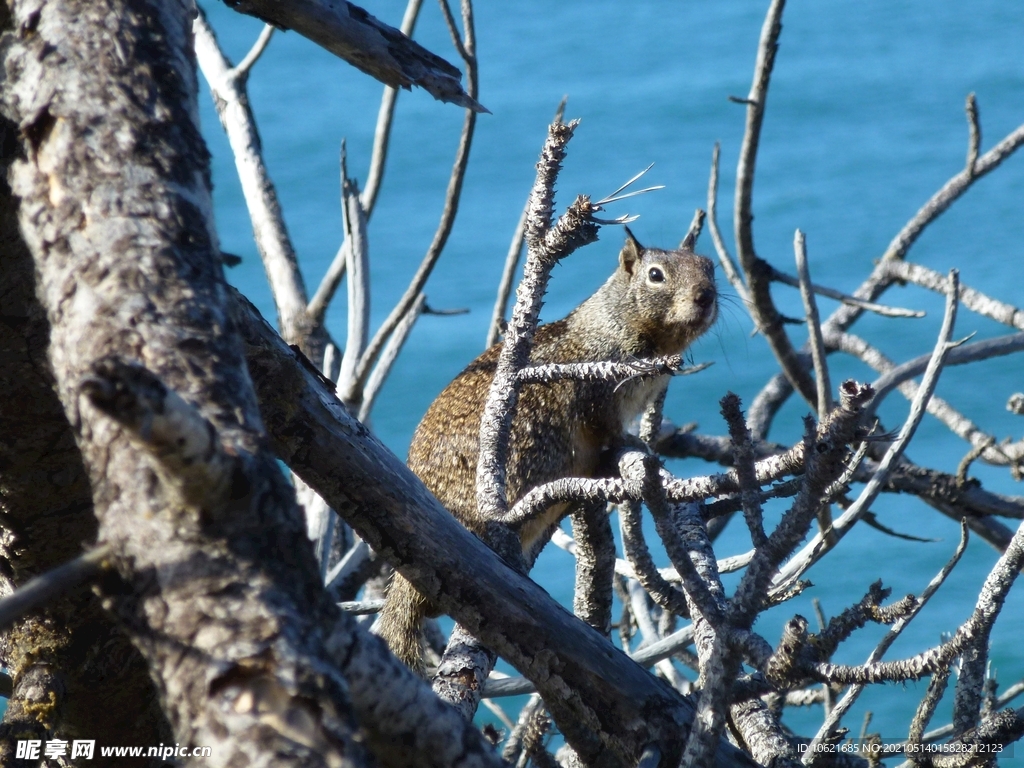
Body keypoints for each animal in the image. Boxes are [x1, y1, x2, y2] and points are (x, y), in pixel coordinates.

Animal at [376, 228, 720, 671]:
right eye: (656, 275)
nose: (705, 295)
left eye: (710, 267)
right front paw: (635, 443)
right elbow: (609, 428)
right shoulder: (599, 394)